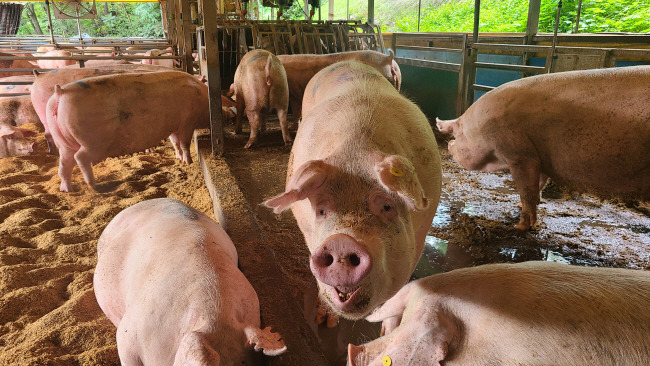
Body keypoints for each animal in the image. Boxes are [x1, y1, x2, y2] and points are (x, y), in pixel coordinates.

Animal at [46, 70, 208, 193]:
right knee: (80, 158)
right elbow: (185, 143)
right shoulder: (187, 122)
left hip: (63, 142)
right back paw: (93, 186)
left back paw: (67, 190)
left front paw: (179, 159)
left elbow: (175, 143)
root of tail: (60, 92)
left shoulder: (174, 127)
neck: (201, 94)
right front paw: (188, 162)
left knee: (64, 165)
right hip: (92, 143)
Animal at [264, 62, 440, 320]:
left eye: (387, 206)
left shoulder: (422, 231)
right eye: (322, 210)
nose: (341, 242)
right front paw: (325, 321)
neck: (355, 154)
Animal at [436, 66, 648, 230]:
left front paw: (521, 227)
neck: (482, 128)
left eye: (457, 134)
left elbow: (526, 190)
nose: (448, 144)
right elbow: (538, 185)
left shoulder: (520, 154)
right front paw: (523, 205)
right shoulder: (539, 157)